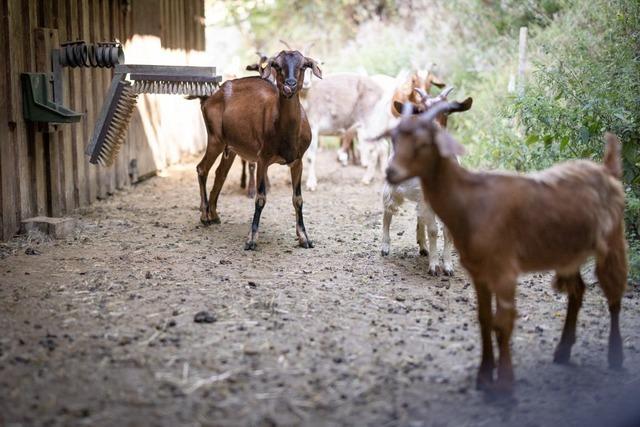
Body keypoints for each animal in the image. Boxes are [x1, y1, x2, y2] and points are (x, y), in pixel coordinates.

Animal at [196, 50, 322, 250]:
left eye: (304, 65)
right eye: (277, 65)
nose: (290, 85)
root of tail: (210, 98)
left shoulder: (297, 160)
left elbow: (298, 199)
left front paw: (304, 238)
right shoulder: (262, 158)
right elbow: (260, 198)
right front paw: (251, 239)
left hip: (231, 147)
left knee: (220, 173)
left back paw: (214, 215)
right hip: (215, 138)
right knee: (202, 168)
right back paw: (205, 216)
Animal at [382, 87, 472, 276]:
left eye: (447, 111)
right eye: (421, 111)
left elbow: (447, 232)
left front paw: (448, 266)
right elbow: (433, 230)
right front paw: (434, 266)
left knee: (419, 217)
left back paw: (423, 246)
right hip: (393, 186)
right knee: (388, 211)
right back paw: (385, 246)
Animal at [385, 103, 628, 395]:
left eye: (424, 142)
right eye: (396, 137)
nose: (391, 170)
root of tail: (607, 169)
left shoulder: (503, 270)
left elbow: (501, 320)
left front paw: (503, 383)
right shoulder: (481, 271)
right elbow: (485, 318)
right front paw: (487, 377)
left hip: (610, 243)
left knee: (613, 293)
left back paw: (614, 357)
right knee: (578, 290)